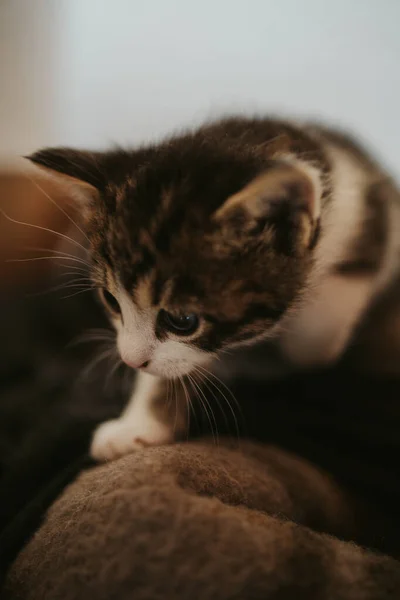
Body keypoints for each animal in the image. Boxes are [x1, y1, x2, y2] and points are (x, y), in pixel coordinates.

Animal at [27, 118, 400, 464]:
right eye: (110, 300)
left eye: (183, 321)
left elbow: (317, 341)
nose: (129, 361)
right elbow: (168, 366)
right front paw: (141, 424)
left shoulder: (370, 218)